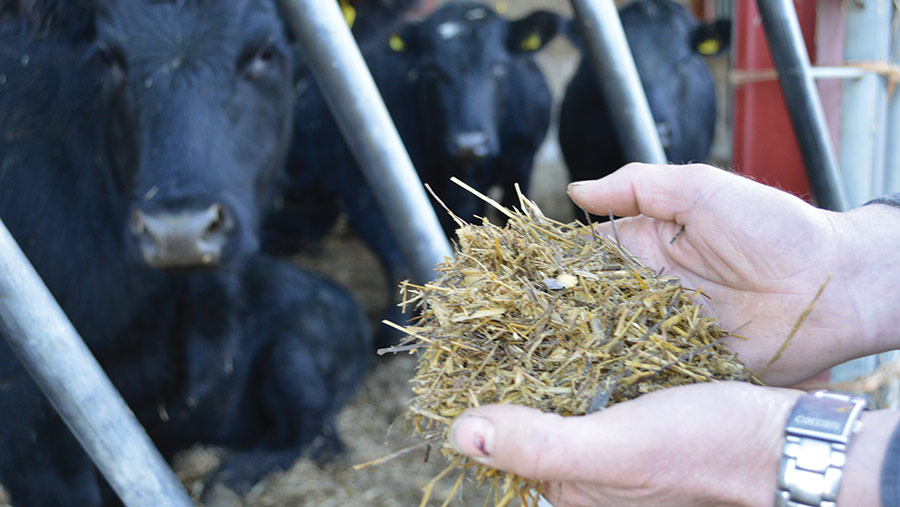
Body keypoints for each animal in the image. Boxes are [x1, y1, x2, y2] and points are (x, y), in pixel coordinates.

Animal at [0, 1, 370, 506]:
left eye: (265, 51)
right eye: (109, 57)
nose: (178, 232)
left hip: (293, 358)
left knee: (317, 436)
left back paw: (234, 476)